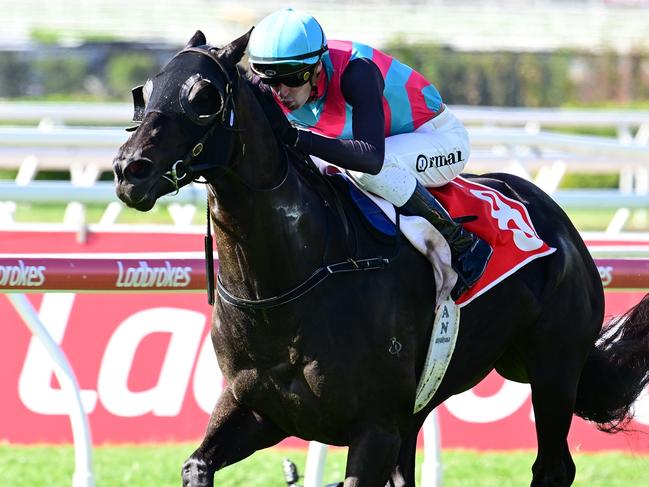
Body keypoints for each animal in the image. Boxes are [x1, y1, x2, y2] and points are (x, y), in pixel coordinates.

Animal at [112, 31, 649, 487]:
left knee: (553, 468)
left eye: (203, 96)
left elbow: (371, 156)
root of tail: (557, 219)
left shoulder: (376, 427)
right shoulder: (260, 409)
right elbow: (196, 464)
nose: (128, 169)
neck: (288, 283)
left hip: (554, 368)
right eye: (146, 90)